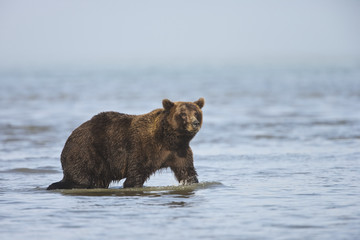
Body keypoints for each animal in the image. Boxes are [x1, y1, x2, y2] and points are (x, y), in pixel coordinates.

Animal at [47, 97, 205, 189]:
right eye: (183, 114)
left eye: (196, 113)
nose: (195, 123)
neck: (169, 139)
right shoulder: (142, 149)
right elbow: (135, 174)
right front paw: (131, 184)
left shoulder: (179, 152)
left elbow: (187, 172)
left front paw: (191, 181)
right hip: (87, 153)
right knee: (81, 178)